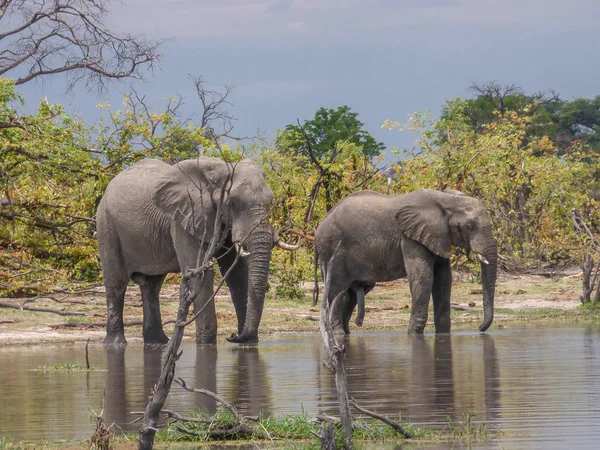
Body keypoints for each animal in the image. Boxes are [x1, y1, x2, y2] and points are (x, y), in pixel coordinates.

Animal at [97, 156, 296, 346]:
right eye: (232, 202)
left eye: (270, 201)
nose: (233, 336)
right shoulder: (186, 217)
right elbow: (201, 273)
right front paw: (206, 345)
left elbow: (237, 274)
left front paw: (250, 344)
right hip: (106, 225)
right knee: (116, 283)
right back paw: (116, 344)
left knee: (151, 286)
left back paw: (158, 343)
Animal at [314, 189, 496, 334]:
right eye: (469, 227)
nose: (480, 328)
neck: (447, 199)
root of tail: (318, 227)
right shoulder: (410, 238)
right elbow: (423, 278)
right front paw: (414, 334)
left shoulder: (438, 236)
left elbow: (443, 279)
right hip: (332, 252)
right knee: (337, 291)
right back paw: (337, 333)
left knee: (350, 295)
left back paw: (345, 334)